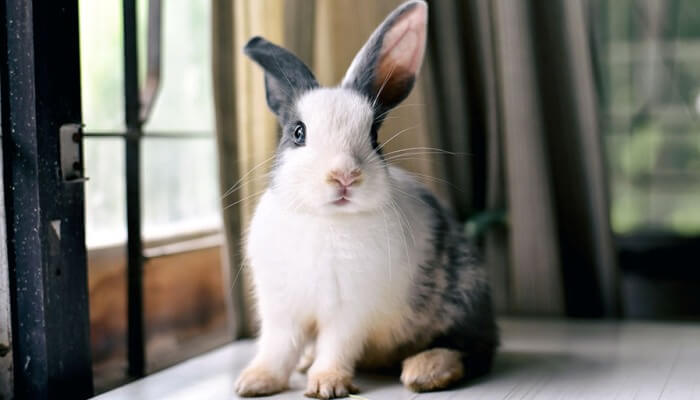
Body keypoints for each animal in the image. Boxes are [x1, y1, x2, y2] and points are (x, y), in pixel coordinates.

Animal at [235, 1, 498, 398]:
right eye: (298, 132)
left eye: (374, 135)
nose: (344, 175)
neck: (325, 219)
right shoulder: (282, 309)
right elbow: (277, 347)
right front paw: (254, 381)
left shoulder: (349, 311)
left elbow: (336, 346)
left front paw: (327, 384)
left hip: (463, 298)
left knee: (474, 349)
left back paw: (425, 370)